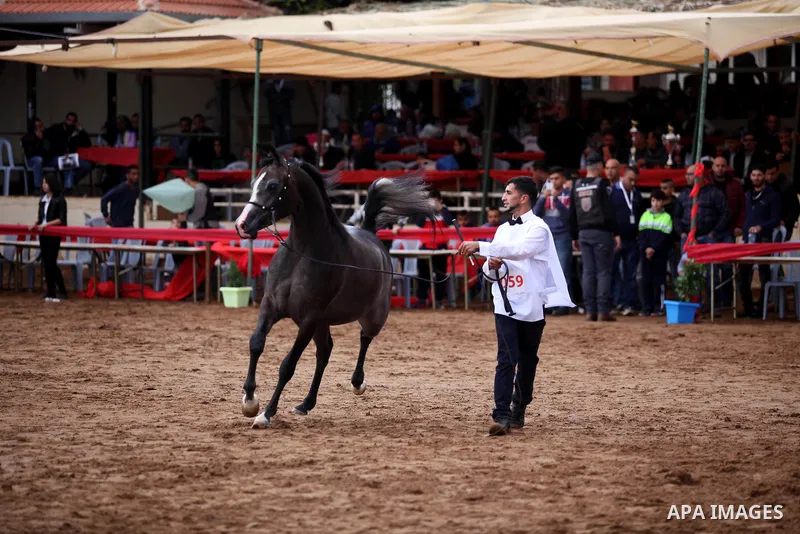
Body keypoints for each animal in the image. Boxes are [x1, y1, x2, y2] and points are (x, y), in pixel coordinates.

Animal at [234, 146, 435, 428]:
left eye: (273, 185)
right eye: (254, 184)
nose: (242, 225)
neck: (302, 254)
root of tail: (371, 235)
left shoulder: (307, 320)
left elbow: (288, 365)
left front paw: (266, 413)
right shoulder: (271, 307)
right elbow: (256, 343)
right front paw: (250, 401)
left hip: (372, 317)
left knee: (364, 339)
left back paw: (357, 383)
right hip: (323, 323)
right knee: (325, 352)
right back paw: (305, 404)